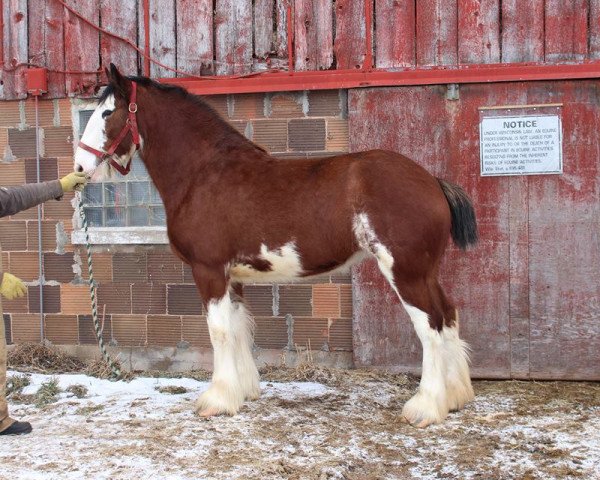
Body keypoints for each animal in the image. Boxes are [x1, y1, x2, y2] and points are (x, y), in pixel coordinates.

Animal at [75, 63, 478, 428]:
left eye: (108, 112)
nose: (79, 167)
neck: (204, 172)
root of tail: (431, 180)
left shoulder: (209, 271)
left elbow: (219, 331)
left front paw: (216, 400)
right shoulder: (232, 276)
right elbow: (239, 327)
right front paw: (243, 392)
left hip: (405, 272)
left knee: (431, 325)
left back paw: (425, 407)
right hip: (425, 272)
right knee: (449, 315)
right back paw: (456, 397)